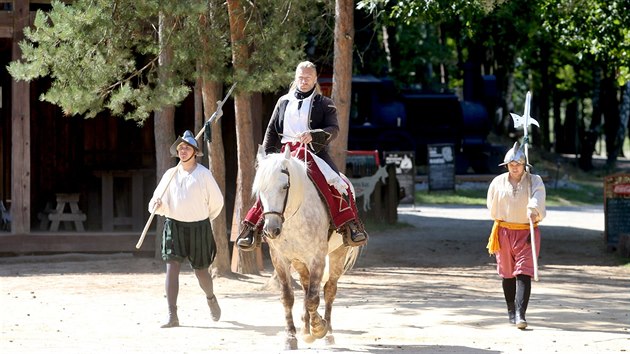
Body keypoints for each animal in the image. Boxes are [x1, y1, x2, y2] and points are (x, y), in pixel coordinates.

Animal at [252, 147, 360, 352]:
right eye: (260, 189)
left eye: (285, 186)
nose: (271, 229)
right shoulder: (279, 258)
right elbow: (288, 297)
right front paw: (291, 336)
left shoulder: (317, 257)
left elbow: (313, 298)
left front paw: (319, 327)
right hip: (299, 261)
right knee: (306, 286)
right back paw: (305, 327)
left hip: (337, 254)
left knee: (328, 290)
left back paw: (328, 333)